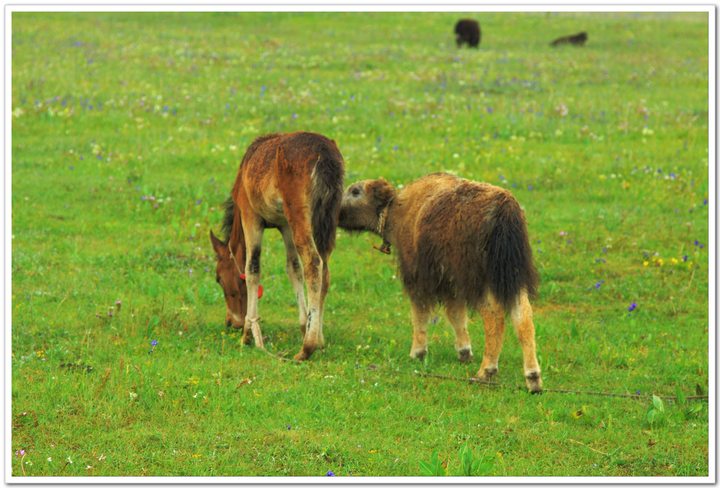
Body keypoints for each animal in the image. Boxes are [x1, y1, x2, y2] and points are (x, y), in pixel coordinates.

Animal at [340, 173, 544, 392]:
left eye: (355, 191)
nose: (337, 210)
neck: (399, 209)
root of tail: (503, 209)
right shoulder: (451, 285)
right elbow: (456, 315)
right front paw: (464, 352)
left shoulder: (420, 279)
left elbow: (420, 314)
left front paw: (418, 352)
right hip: (512, 279)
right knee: (523, 316)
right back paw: (533, 379)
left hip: (480, 282)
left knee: (494, 315)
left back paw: (485, 371)